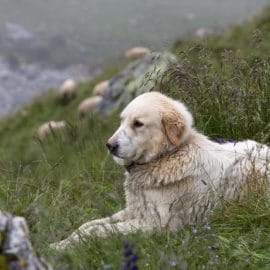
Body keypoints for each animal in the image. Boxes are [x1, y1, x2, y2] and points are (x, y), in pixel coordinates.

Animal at [51, 92, 270, 250]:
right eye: (122, 121)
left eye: (138, 123)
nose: (110, 145)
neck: (164, 158)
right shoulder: (134, 209)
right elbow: (88, 225)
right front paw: (59, 243)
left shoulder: (156, 225)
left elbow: (98, 231)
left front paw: (62, 247)